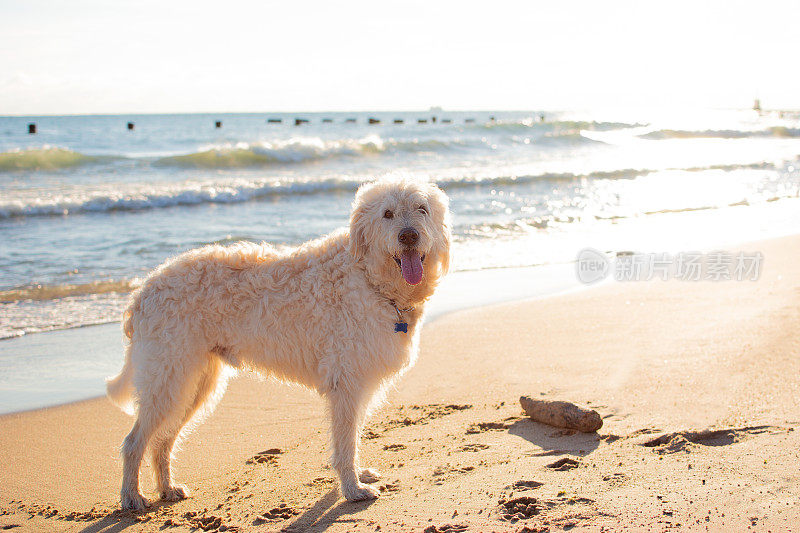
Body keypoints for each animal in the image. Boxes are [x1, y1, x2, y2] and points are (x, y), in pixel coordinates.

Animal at [104, 178, 450, 508]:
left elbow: (353, 436)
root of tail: (141, 293)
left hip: (193, 384)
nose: (409, 236)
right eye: (387, 214)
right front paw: (353, 489)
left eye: (421, 208)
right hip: (169, 379)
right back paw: (131, 496)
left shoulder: (359, 383)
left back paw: (167, 488)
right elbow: (346, 442)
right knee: (134, 442)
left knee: (162, 441)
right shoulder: (347, 384)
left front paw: (358, 476)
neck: (369, 277)